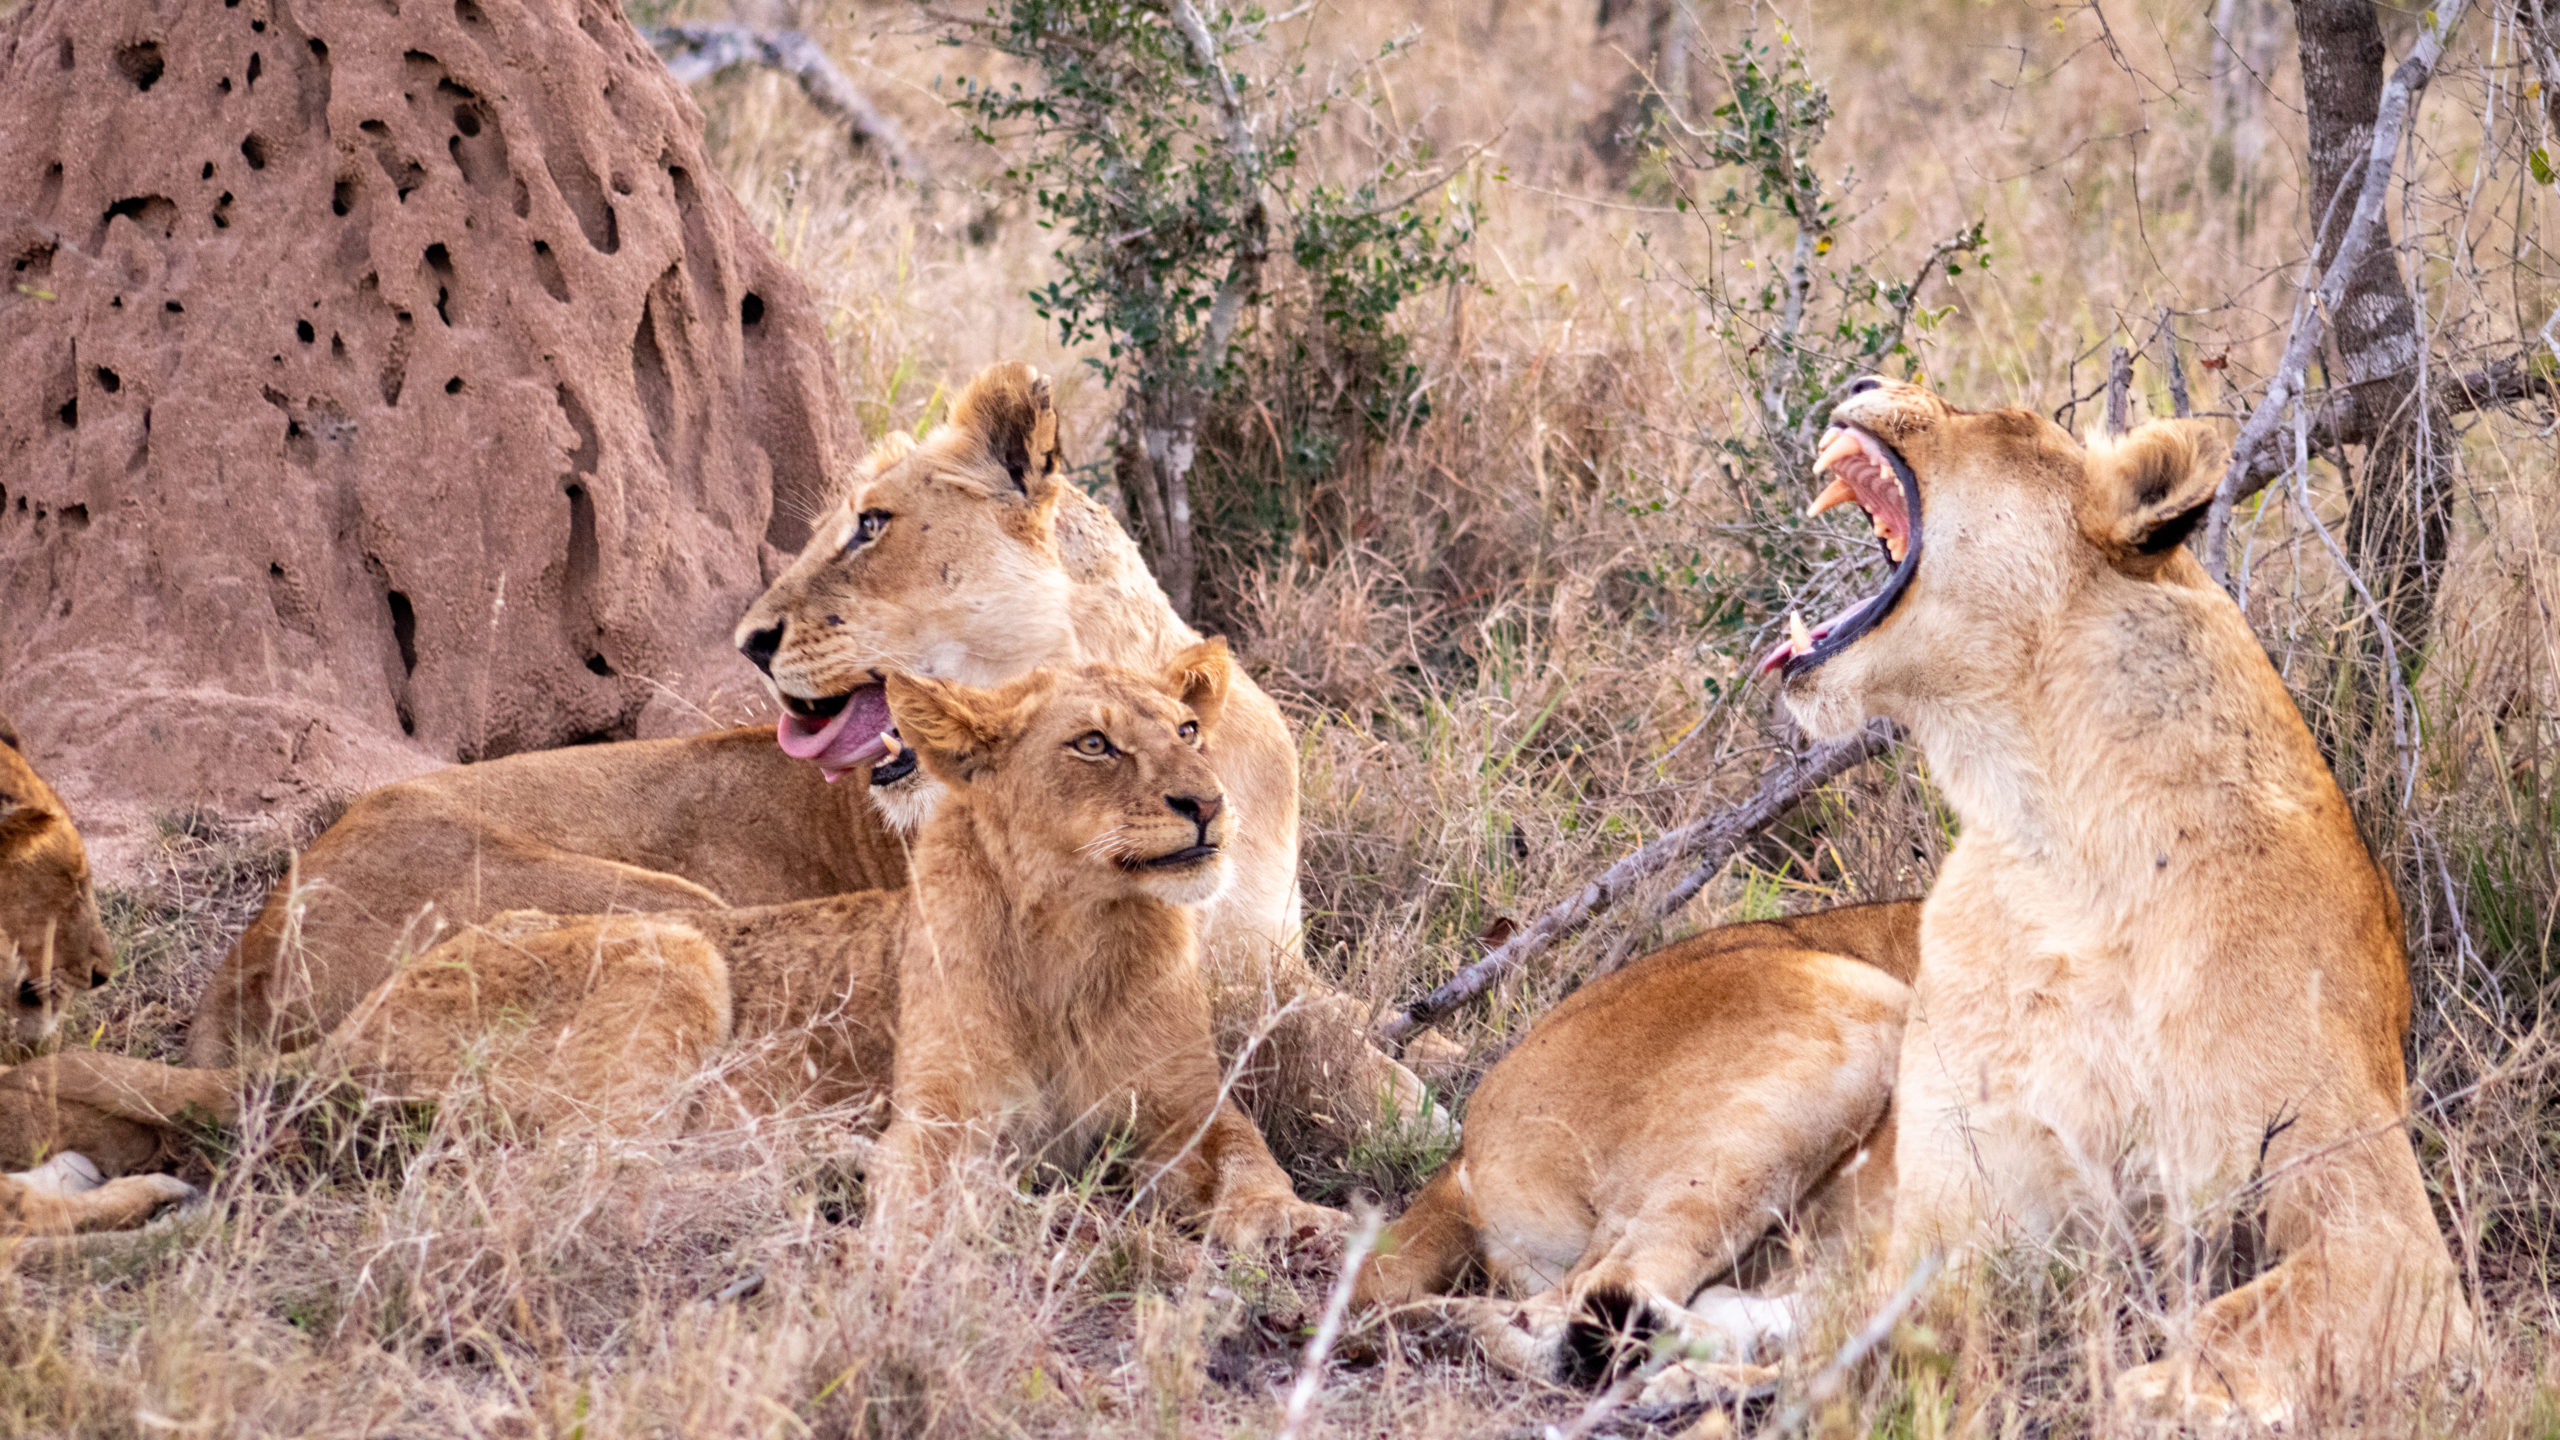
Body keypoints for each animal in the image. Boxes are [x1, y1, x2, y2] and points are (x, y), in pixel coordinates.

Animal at [10, 645, 1341, 1250]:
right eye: (1093, 745)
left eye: (1184, 729)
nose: (1207, 805)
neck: (1079, 936)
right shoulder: (941, 1117)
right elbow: (935, 1193)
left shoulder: (1192, 1115)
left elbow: (1260, 1164)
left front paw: (1311, 1236)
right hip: (676, 936)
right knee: (572, 1177)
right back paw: (797, 1175)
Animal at [189, 358, 1433, 1153]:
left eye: (871, 525)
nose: (748, 643)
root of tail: (249, 947)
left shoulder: (1269, 957)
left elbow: (1373, 1057)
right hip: (668, 915)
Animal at [1771, 376, 2467, 1414]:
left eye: (2008, 423)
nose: (1861, 384)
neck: (2058, 849)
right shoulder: (1957, 1217)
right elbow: (1863, 1341)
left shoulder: (2383, 1227)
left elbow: (2240, 1318)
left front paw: (2153, 1395)